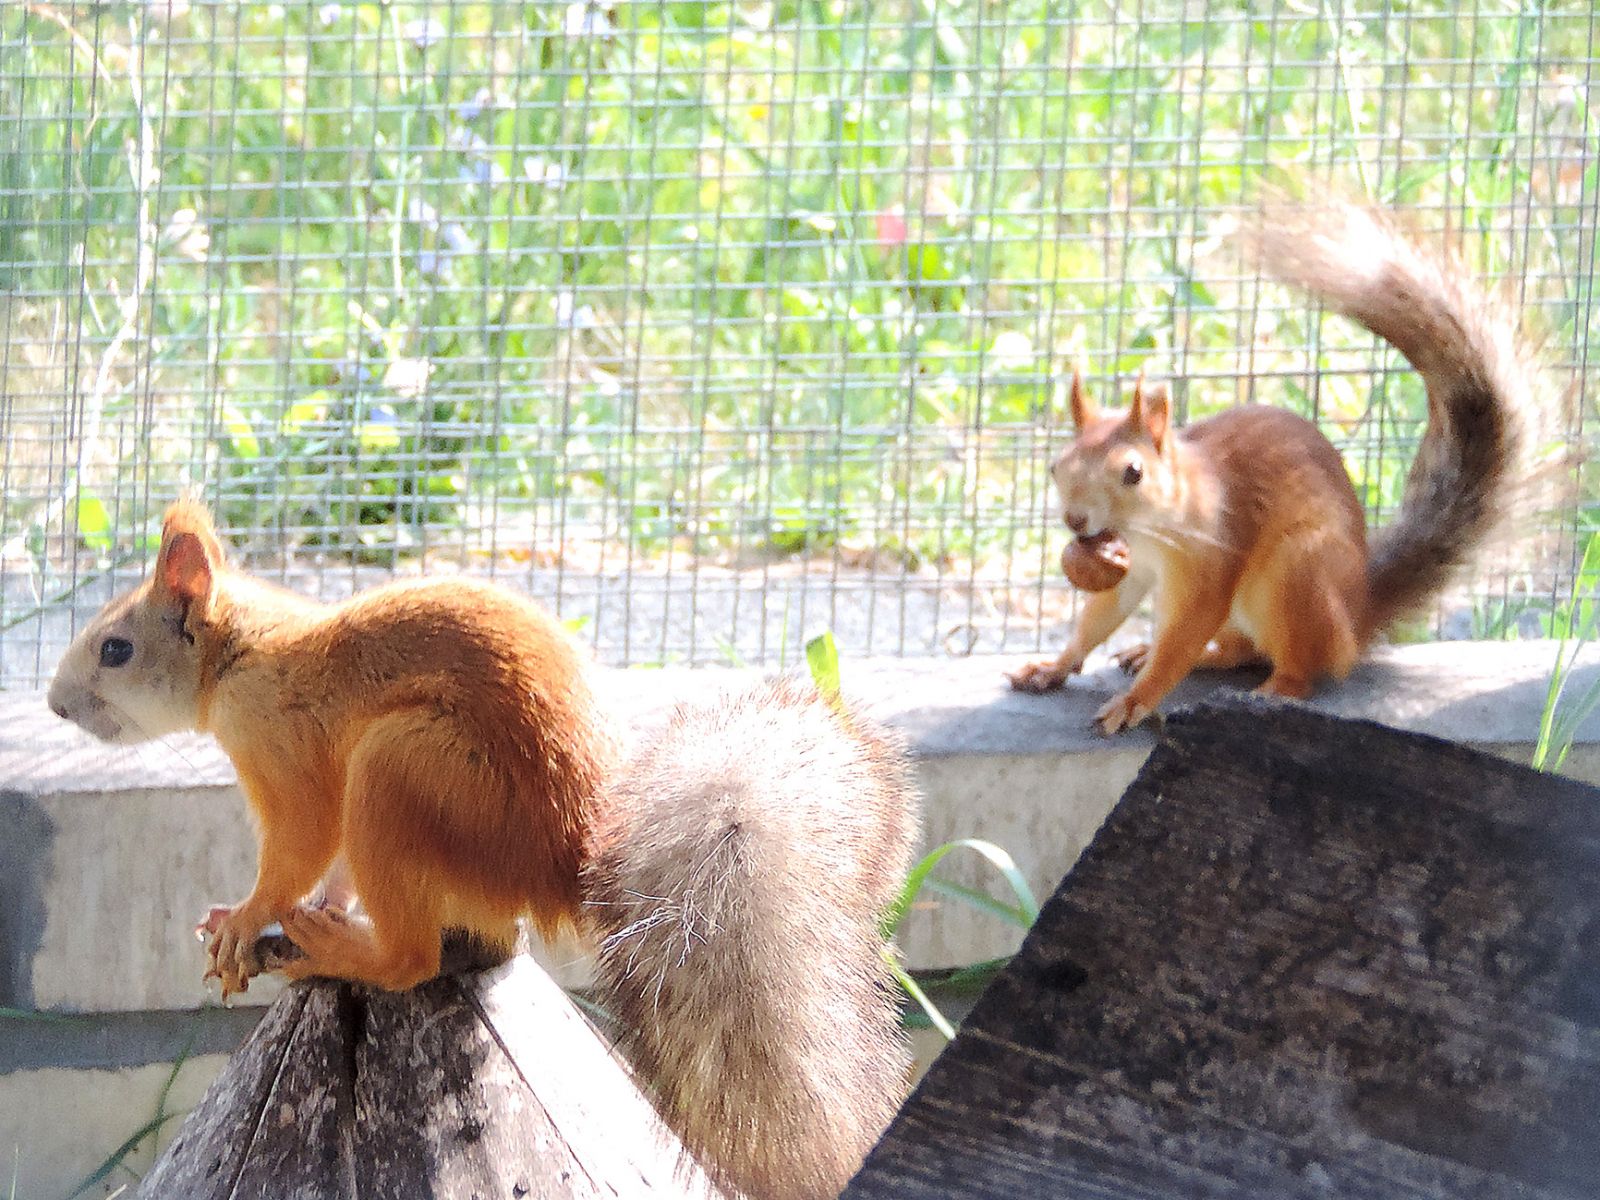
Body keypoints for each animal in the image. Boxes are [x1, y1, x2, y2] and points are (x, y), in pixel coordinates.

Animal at [46, 505, 915, 1200]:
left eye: (115, 649)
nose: (54, 704)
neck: (244, 653)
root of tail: (561, 866)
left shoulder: (285, 752)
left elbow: (303, 844)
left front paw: (246, 918)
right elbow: (330, 868)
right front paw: (304, 907)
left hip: (403, 772)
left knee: (411, 958)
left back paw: (341, 950)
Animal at [1011, 203, 1536, 732]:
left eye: (1133, 473)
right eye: (1055, 467)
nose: (1075, 520)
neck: (1151, 529)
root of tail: (1355, 617)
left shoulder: (1213, 556)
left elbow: (1184, 635)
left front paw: (1135, 701)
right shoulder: (1134, 568)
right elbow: (1101, 616)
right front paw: (1053, 666)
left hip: (1295, 576)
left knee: (1299, 667)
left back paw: (1274, 690)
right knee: (1241, 650)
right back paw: (1169, 653)